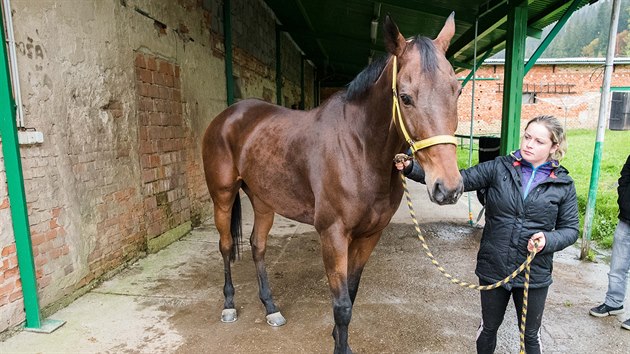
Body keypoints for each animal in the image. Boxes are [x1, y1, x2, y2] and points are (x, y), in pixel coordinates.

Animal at [202, 13, 464, 354]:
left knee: (257, 246)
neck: (358, 148)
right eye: (405, 97)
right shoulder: (333, 235)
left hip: (263, 201)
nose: (448, 188)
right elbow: (341, 305)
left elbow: (351, 295)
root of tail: (228, 116)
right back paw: (229, 305)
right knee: (226, 245)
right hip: (222, 197)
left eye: (457, 92)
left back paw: (271, 308)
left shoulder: (369, 236)